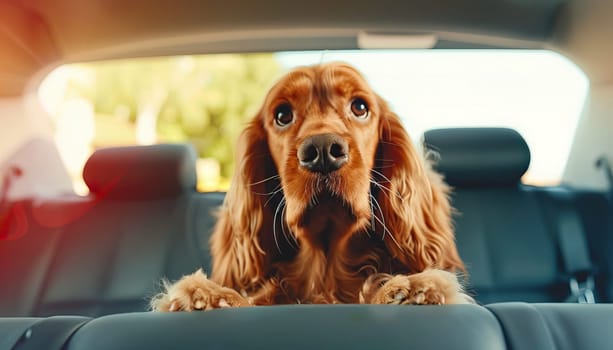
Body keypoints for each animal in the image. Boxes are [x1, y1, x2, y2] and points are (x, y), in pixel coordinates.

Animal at [152, 63, 468, 312]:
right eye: (282, 115)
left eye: (360, 107)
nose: (323, 150)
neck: (324, 273)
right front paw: (207, 294)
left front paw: (412, 287)